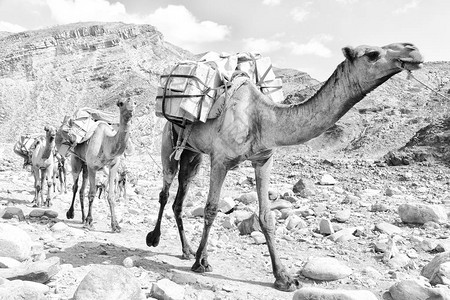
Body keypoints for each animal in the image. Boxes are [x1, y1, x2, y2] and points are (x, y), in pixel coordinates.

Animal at [62, 98, 134, 232]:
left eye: (134, 102)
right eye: (121, 103)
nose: (131, 110)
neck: (106, 142)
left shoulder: (113, 166)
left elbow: (111, 195)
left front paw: (115, 225)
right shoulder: (92, 167)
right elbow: (91, 193)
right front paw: (89, 222)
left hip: (85, 166)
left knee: (81, 190)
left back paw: (83, 218)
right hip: (76, 161)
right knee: (75, 186)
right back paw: (71, 213)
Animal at [146, 42, 424, 290]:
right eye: (373, 54)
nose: (413, 50)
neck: (261, 117)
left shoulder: (263, 160)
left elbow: (267, 217)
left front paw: (284, 278)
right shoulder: (221, 160)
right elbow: (211, 209)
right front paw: (201, 263)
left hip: (193, 154)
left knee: (180, 197)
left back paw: (186, 249)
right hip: (169, 140)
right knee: (165, 191)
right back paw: (155, 239)